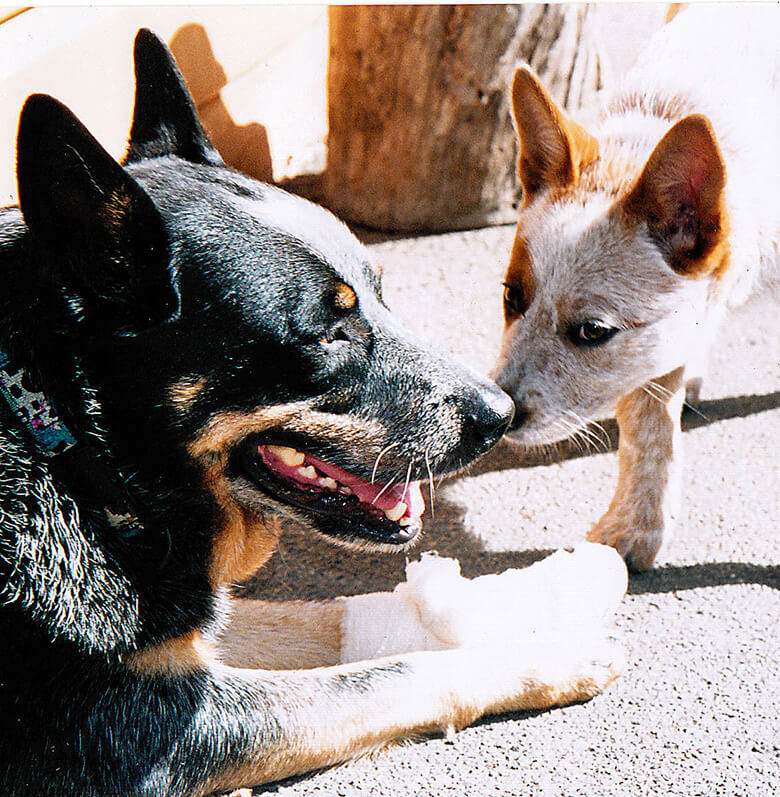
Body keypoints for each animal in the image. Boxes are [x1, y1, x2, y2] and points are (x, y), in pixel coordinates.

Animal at [0, 31, 620, 796]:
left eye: (381, 294)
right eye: (329, 334)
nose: (500, 415)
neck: (69, 448)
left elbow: (323, 620)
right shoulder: (144, 728)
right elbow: (394, 674)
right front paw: (542, 655)